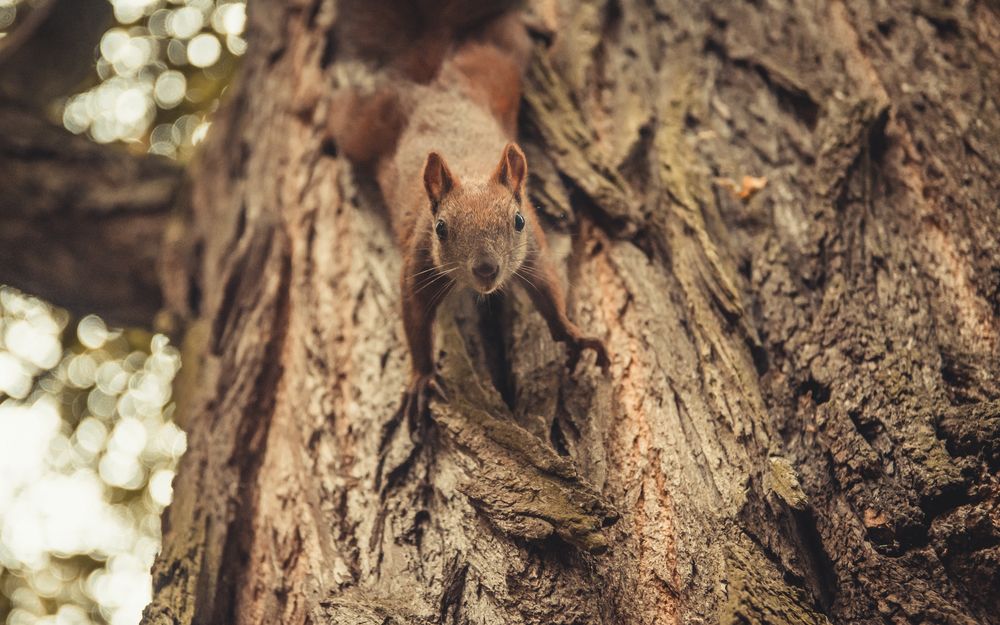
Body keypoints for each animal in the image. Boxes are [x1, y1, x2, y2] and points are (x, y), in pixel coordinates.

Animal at [329, 4, 610, 418]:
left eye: (518, 221)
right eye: (441, 228)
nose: (487, 269)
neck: (472, 171)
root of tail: (433, 79)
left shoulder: (532, 249)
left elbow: (548, 290)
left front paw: (574, 335)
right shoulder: (419, 261)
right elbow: (414, 318)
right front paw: (423, 376)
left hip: (498, 65)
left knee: (504, 33)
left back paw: (535, 25)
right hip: (369, 130)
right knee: (346, 117)